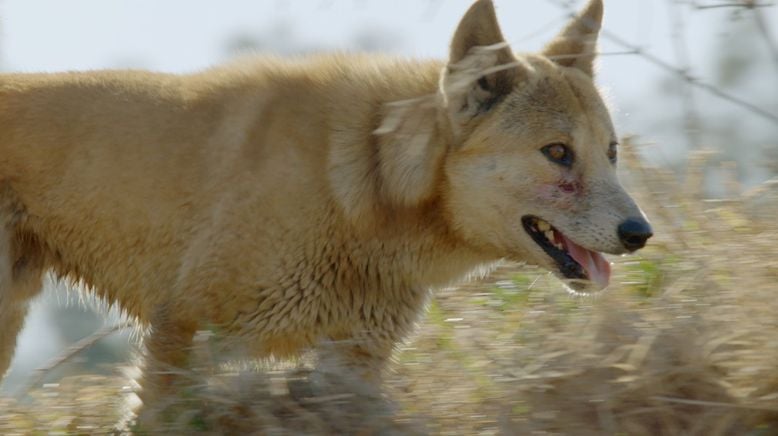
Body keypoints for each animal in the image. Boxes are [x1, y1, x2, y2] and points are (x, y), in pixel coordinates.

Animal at [0, 0, 648, 424]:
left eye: (611, 152)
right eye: (557, 153)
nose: (640, 233)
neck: (363, 186)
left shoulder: (351, 366)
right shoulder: (180, 340)